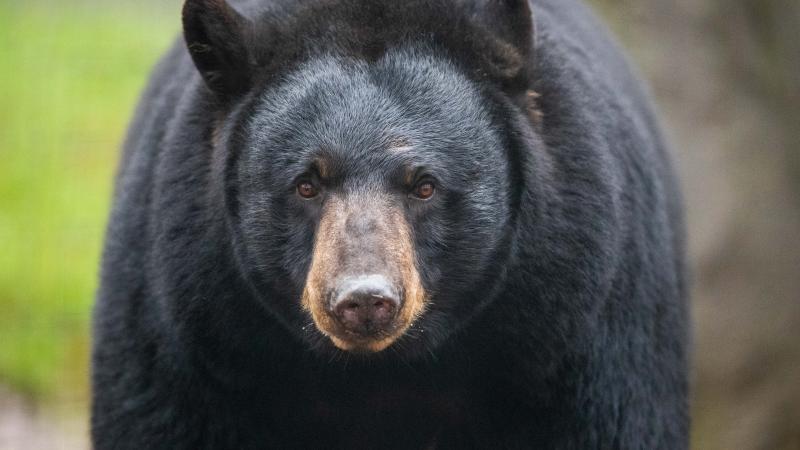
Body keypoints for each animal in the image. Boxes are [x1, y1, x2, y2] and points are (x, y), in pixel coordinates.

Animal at [91, 0, 689, 448]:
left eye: (424, 185)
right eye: (306, 183)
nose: (363, 300)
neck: (382, 377)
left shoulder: (573, 335)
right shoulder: (195, 336)